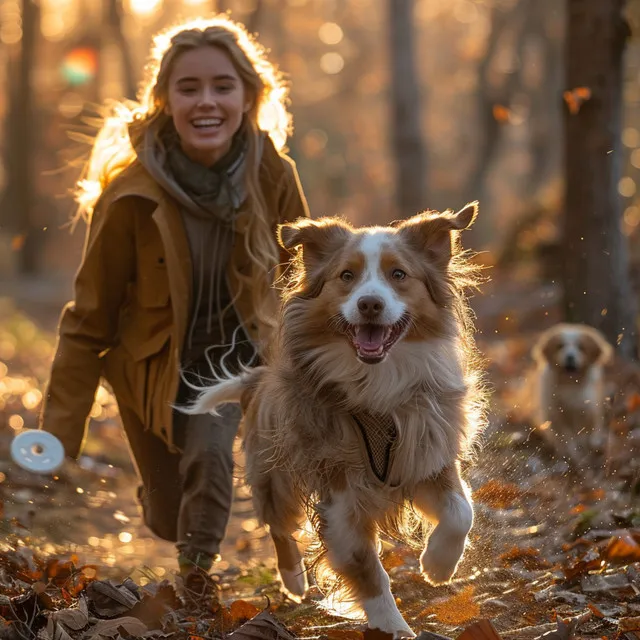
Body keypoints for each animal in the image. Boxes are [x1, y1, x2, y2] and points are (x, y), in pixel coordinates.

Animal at [188, 204, 488, 636]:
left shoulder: (425, 455)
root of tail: (258, 380)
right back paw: (293, 581)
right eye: (347, 276)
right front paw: (395, 629)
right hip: (275, 470)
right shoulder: (339, 490)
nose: (369, 304)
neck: (376, 382)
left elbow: (461, 512)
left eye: (399, 274)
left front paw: (437, 566)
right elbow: (366, 570)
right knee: (279, 525)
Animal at [528, 322, 616, 462]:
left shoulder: (587, 409)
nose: (570, 356)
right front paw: (571, 454)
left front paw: (589, 447)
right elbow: (567, 438)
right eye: (560, 346)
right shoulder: (556, 415)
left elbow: (588, 432)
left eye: (581, 347)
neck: (569, 384)